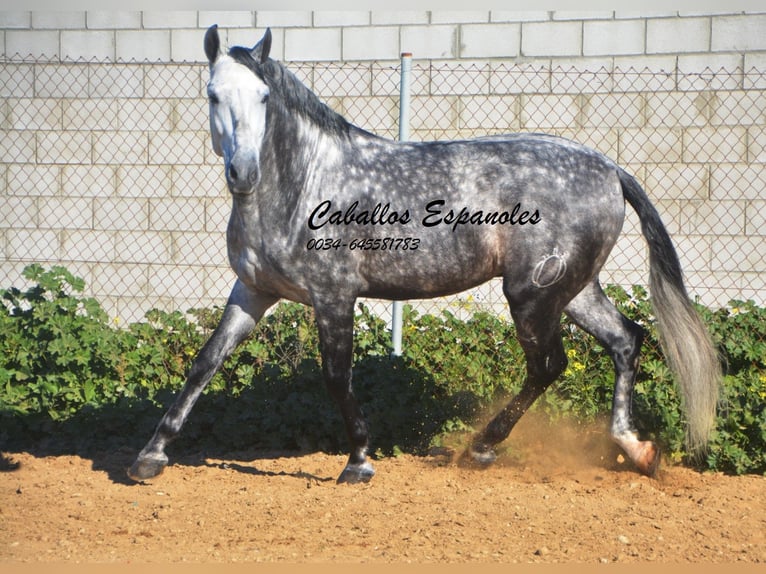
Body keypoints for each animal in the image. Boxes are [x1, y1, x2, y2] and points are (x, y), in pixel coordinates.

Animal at [126, 25, 720, 486]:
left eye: (264, 98)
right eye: (212, 95)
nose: (243, 173)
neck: (303, 184)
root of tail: (609, 168)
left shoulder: (333, 295)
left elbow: (335, 376)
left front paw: (359, 462)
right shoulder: (252, 291)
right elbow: (206, 362)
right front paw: (149, 457)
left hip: (531, 294)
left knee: (549, 364)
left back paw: (483, 447)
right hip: (571, 289)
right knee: (625, 341)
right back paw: (635, 449)